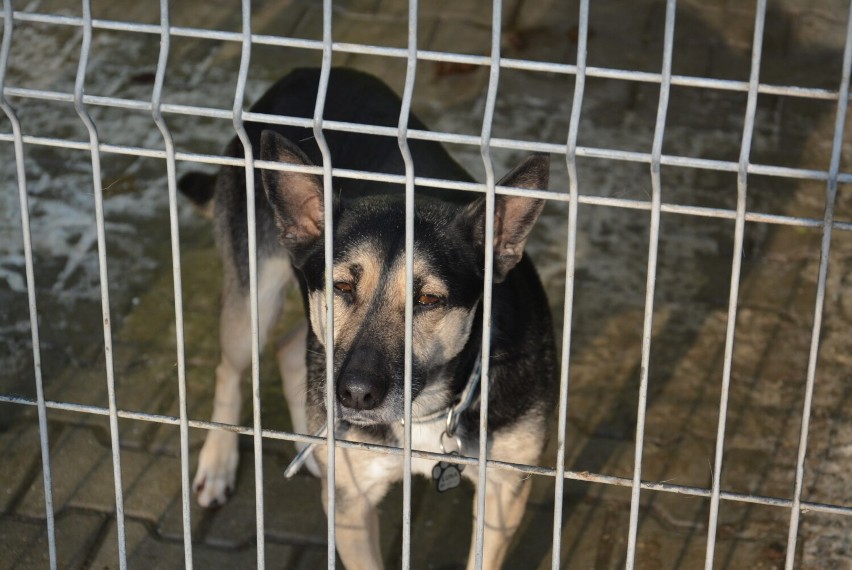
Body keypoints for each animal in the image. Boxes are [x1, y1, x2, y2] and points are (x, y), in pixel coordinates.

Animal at [182, 69, 556, 564]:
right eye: (342, 287)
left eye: (428, 299)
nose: (355, 396)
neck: (426, 409)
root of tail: (299, 74)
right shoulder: (351, 505)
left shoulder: (503, 493)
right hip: (255, 301)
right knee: (232, 367)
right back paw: (218, 462)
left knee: (288, 348)